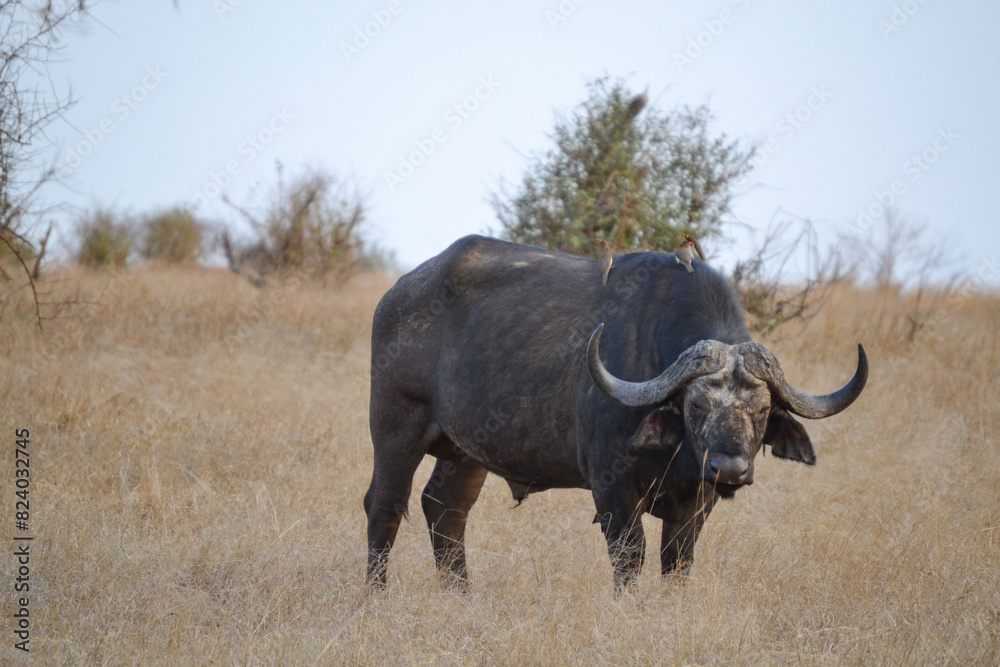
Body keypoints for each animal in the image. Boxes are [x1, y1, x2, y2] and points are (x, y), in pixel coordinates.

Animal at [366, 235, 868, 588]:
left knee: (445, 510)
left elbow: (677, 564)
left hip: (466, 452)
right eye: (697, 405)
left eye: (761, 409)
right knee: (384, 505)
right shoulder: (612, 489)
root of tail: (397, 294)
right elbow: (630, 559)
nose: (729, 469)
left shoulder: (696, 504)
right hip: (395, 428)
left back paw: (462, 594)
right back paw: (376, 595)